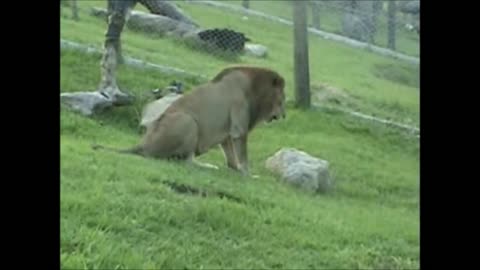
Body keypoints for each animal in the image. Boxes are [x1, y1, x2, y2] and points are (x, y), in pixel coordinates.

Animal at [92, 65, 286, 177]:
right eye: (282, 99)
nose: (284, 115)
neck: (256, 90)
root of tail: (143, 144)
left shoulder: (227, 134)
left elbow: (231, 155)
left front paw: (234, 169)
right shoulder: (239, 128)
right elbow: (243, 156)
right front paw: (248, 175)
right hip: (188, 121)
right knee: (186, 161)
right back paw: (207, 166)